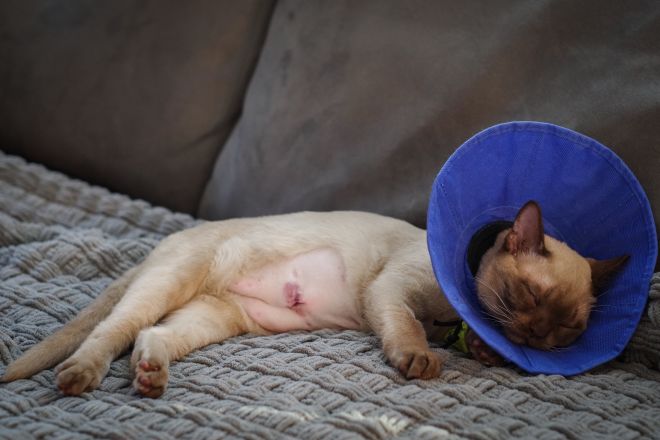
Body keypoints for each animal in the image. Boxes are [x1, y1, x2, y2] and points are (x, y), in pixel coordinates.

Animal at [1, 201, 627, 397]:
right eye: (527, 294)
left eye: (568, 329)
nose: (535, 338)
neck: (453, 314)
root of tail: (169, 240)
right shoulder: (392, 292)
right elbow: (408, 330)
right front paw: (422, 359)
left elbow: (473, 342)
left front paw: (488, 349)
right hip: (169, 284)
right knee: (110, 333)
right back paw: (81, 376)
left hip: (213, 317)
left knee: (150, 339)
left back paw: (152, 378)